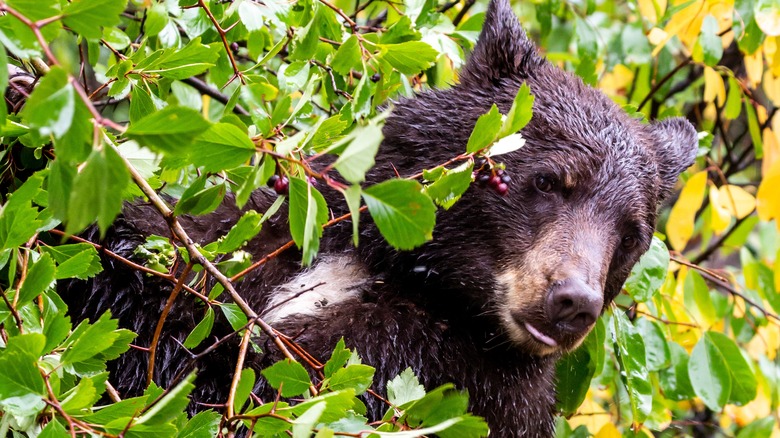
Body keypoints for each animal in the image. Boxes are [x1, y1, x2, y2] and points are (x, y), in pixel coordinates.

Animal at [59, 0, 696, 436]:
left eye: (630, 236)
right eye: (548, 181)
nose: (572, 301)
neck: (398, 269)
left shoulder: (448, 375)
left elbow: (249, 387)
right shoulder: (255, 239)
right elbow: (152, 282)